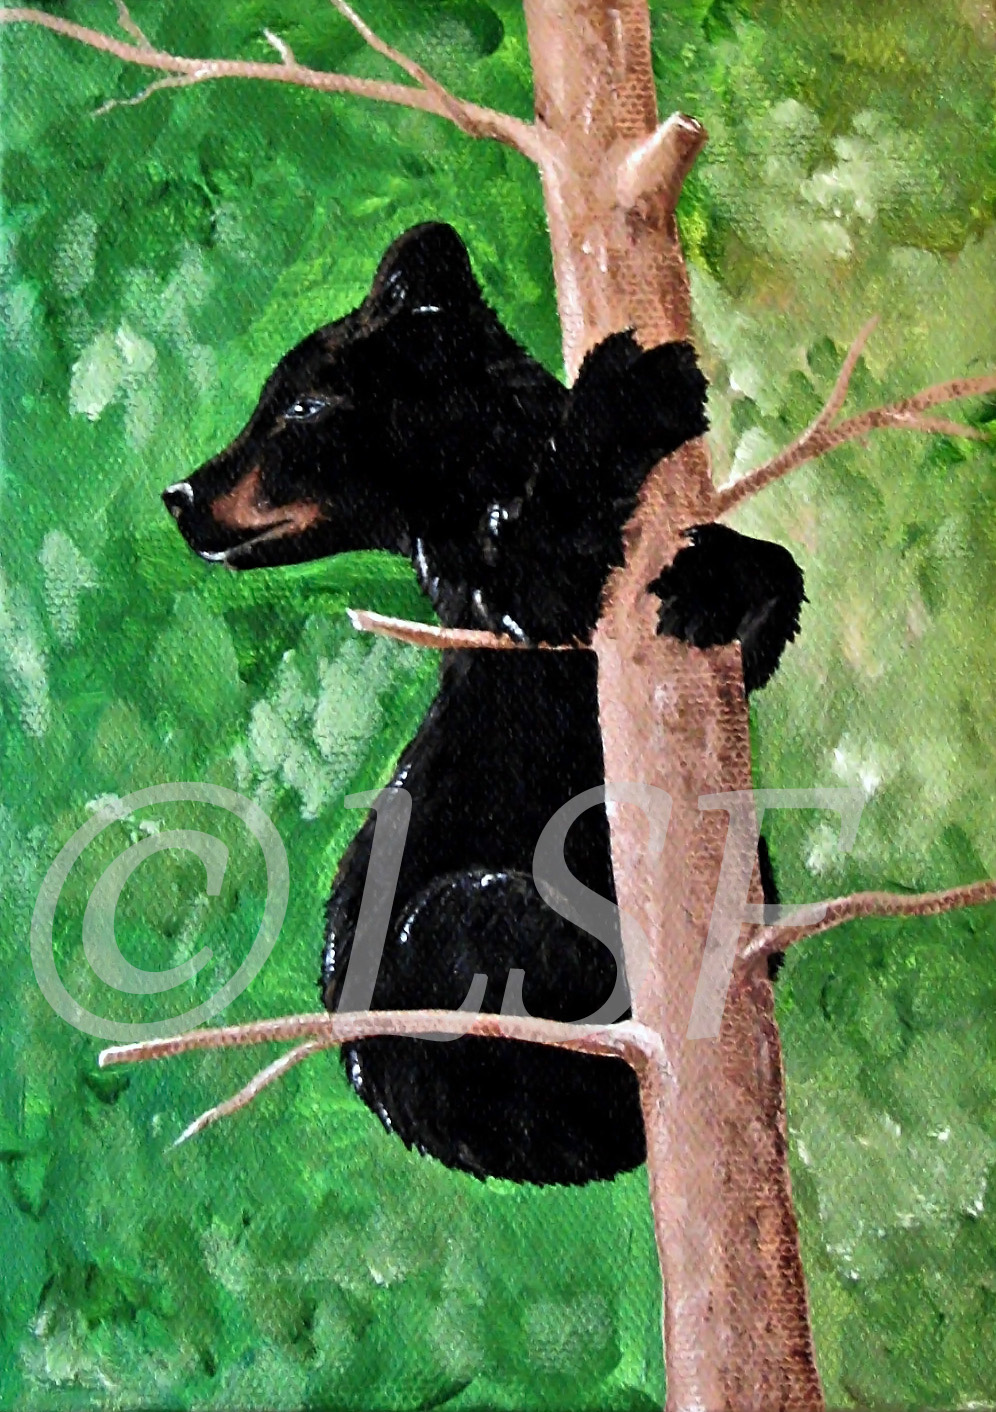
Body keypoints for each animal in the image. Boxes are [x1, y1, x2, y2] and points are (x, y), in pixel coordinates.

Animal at [162, 223, 804, 1185]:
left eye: (300, 407)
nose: (181, 496)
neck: (477, 479)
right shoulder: (479, 582)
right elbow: (541, 586)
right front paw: (635, 387)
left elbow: (759, 599)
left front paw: (716, 580)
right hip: (449, 980)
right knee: (488, 922)